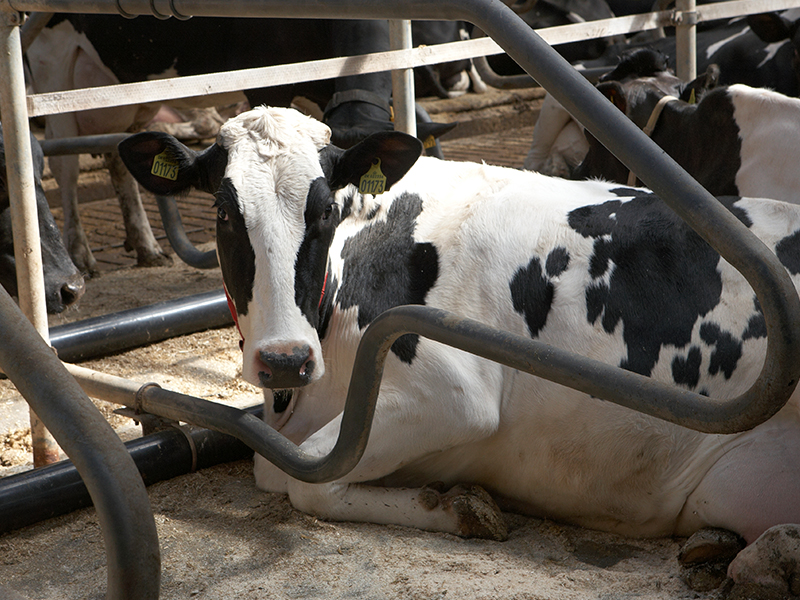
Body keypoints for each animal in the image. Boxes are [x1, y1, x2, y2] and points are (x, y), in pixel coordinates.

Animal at [117, 106, 800, 596]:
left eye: (324, 210)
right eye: (224, 213)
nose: (285, 358)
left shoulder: (452, 395)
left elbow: (303, 475)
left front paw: (458, 506)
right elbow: (277, 464)